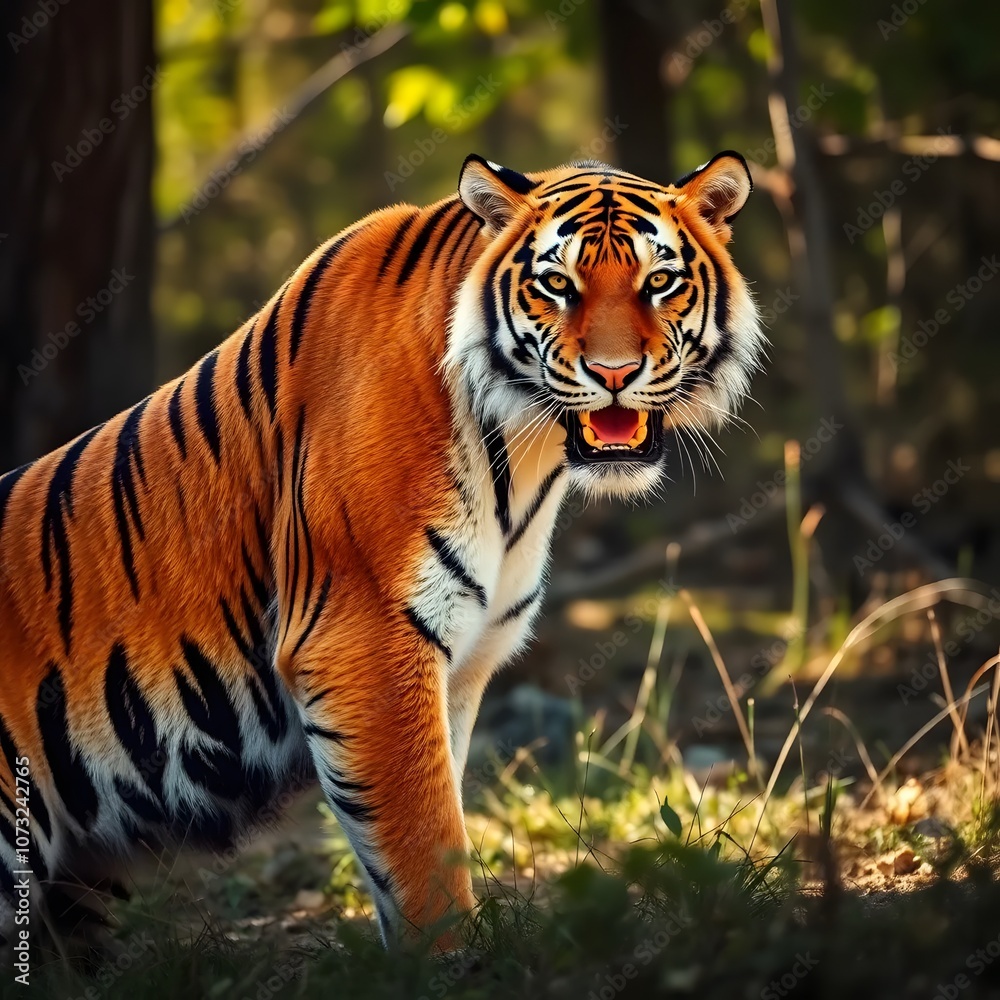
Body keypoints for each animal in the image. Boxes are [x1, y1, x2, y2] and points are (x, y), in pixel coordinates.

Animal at [0, 151, 764, 955]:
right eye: (558, 285)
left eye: (660, 281)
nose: (614, 373)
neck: (526, 466)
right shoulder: (361, 641)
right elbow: (423, 846)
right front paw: (456, 964)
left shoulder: (462, 662)